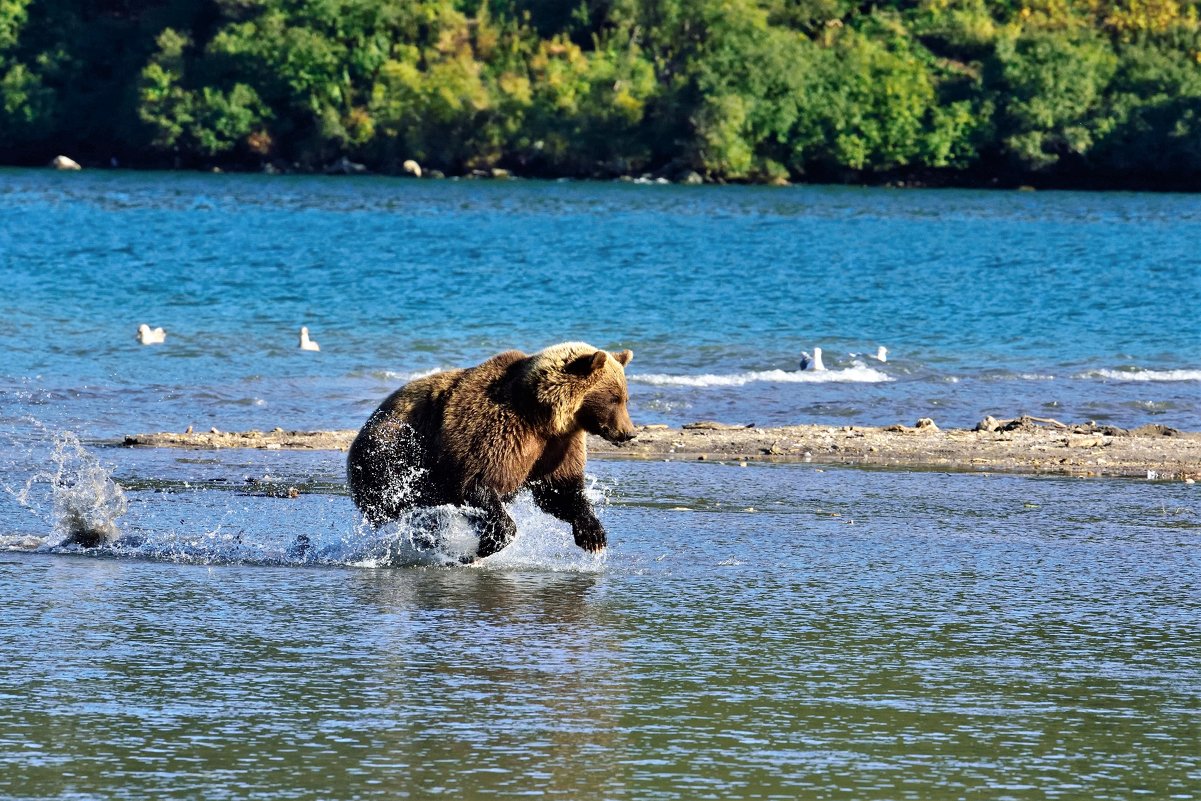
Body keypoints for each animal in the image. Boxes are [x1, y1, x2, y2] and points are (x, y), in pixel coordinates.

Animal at [345, 341, 638, 562]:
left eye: (625, 397)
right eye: (614, 398)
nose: (629, 432)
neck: (541, 416)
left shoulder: (556, 447)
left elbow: (559, 491)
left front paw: (593, 535)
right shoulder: (494, 430)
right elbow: (477, 483)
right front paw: (485, 544)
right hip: (392, 457)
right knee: (404, 508)